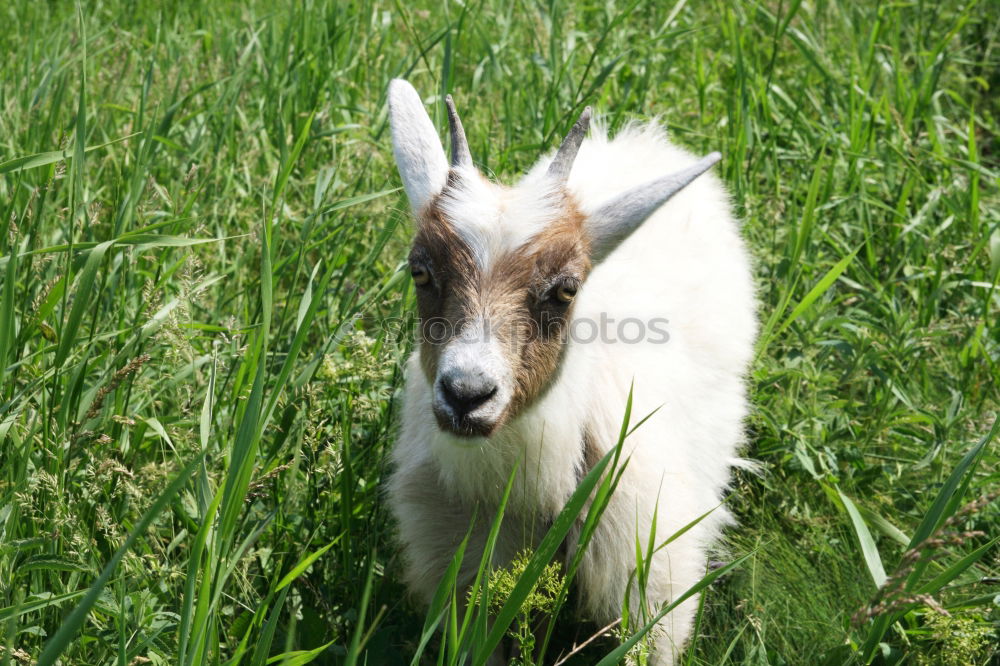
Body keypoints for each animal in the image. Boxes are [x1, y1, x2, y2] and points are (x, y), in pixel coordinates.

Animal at [384, 80, 756, 660]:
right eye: (419, 271)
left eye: (566, 289)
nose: (467, 394)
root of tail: (646, 140)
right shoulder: (462, 579)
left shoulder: (652, 589)